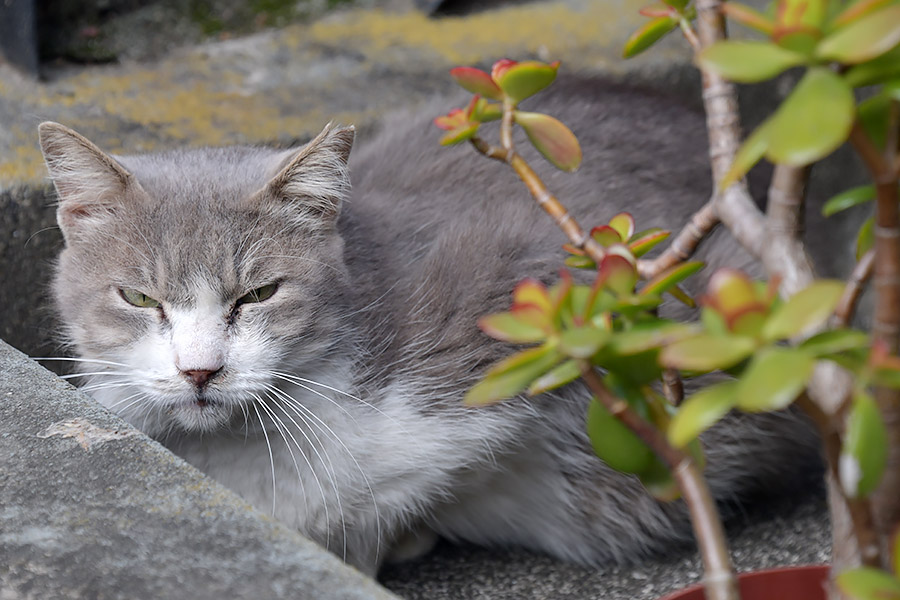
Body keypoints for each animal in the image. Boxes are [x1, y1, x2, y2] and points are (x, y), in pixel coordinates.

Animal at [38, 79, 820, 576]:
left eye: (259, 293)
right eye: (139, 297)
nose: (200, 370)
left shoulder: (526, 294)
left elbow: (412, 482)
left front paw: (385, 543)